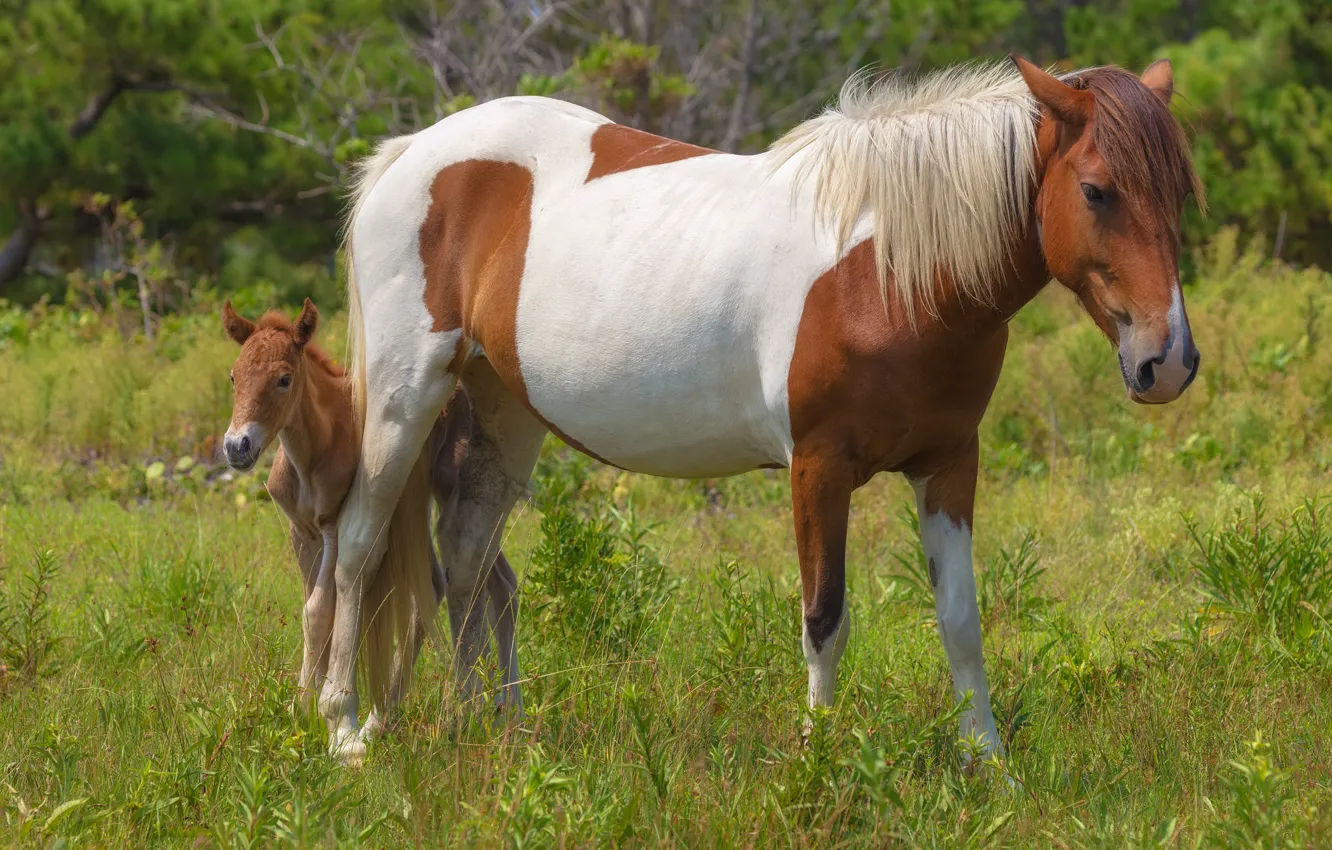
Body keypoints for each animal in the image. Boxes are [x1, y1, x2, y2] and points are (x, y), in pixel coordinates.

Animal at [317, 59, 1204, 767]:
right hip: (402, 401)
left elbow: (960, 618)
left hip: (504, 413)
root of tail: (410, 154)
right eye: (1096, 191)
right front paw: (818, 762)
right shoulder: (818, 468)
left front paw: (988, 766)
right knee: (359, 548)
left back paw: (489, 730)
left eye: (1180, 195)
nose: (1166, 362)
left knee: (465, 560)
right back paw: (346, 730)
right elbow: (824, 617)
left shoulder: (950, 464)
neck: (888, 271)